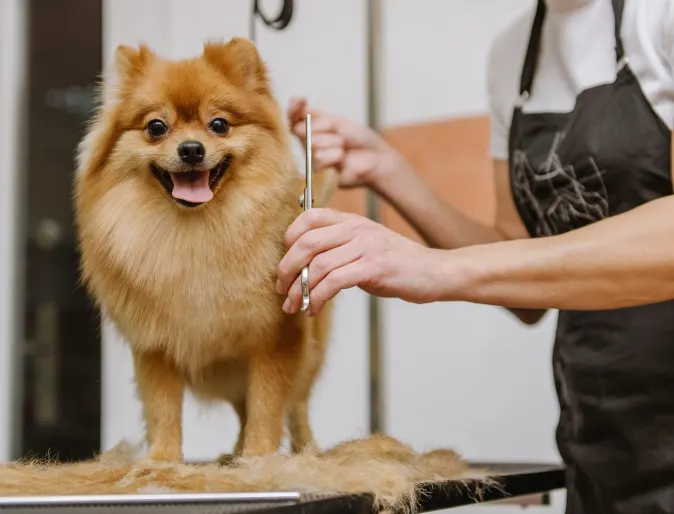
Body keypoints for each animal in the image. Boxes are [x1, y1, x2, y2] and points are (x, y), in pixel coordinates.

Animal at [73, 37, 336, 460]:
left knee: (294, 405)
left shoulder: (275, 339)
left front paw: (260, 459)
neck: (197, 234)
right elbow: (163, 408)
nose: (192, 149)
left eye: (219, 125)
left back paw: (301, 450)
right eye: (156, 127)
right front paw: (162, 461)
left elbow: (267, 406)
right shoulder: (155, 346)